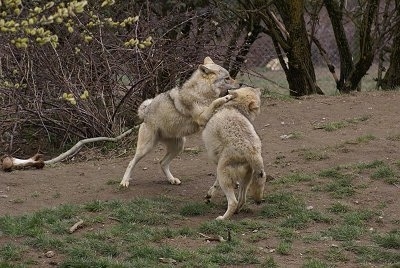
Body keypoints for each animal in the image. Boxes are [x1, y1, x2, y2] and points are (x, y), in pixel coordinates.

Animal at [119, 56, 238, 187]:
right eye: (227, 78)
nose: (240, 84)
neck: (201, 92)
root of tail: (145, 112)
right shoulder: (201, 118)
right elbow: (216, 102)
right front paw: (226, 98)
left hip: (179, 146)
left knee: (162, 163)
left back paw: (172, 179)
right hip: (145, 148)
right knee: (131, 162)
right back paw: (124, 182)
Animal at [203, 86, 266, 220]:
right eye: (252, 88)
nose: (259, 88)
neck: (235, 108)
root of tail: (252, 152)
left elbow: (214, 102)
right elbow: (216, 184)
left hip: (223, 174)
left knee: (233, 202)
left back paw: (222, 219)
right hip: (245, 180)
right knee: (242, 199)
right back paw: (236, 211)